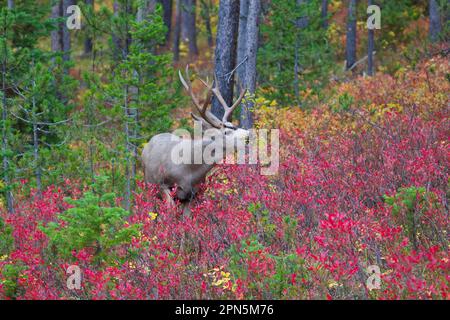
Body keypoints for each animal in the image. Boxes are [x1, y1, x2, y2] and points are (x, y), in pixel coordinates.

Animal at [142, 66, 250, 209]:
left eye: (233, 125)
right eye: (226, 132)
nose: (248, 135)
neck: (189, 170)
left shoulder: (193, 195)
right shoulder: (163, 185)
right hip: (149, 185)